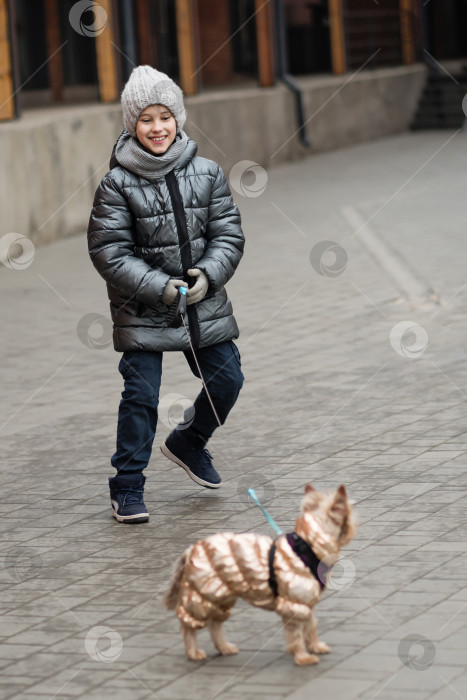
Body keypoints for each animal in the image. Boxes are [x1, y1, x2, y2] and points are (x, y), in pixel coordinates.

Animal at [163, 484, 356, 664]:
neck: (307, 546)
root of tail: (191, 550)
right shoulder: (293, 603)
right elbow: (295, 635)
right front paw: (302, 657)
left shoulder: (305, 601)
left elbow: (311, 626)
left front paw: (315, 646)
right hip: (203, 594)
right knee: (189, 626)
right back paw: (193, 652)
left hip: (221, 595)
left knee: (215, 624)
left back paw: (224, 647)